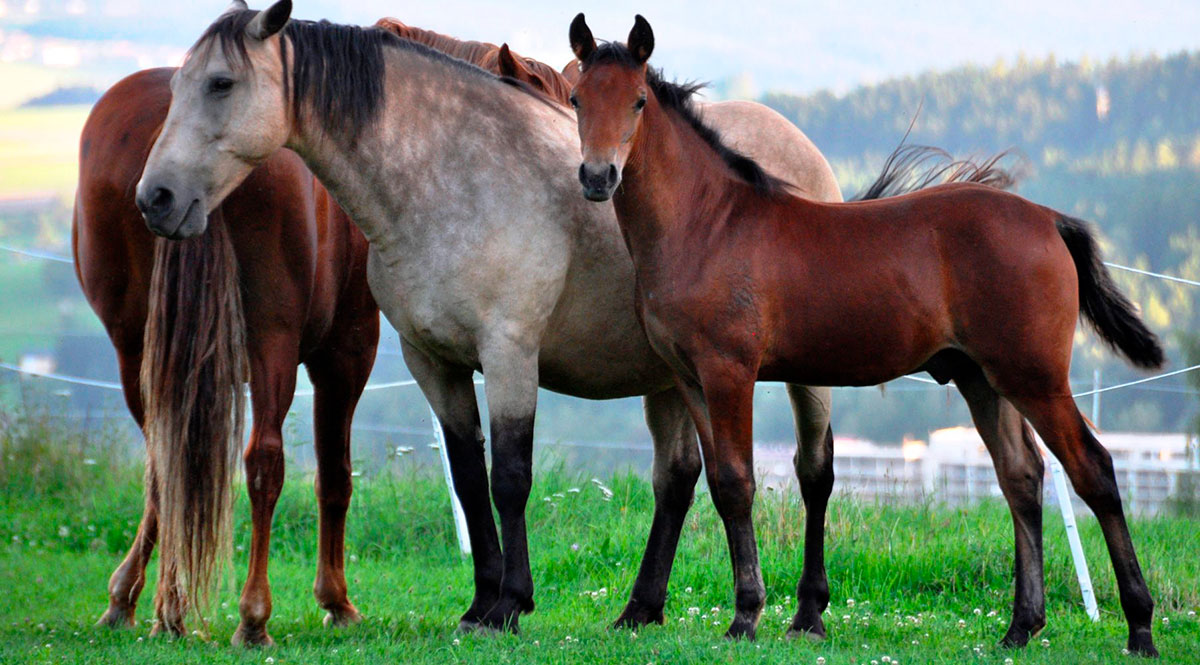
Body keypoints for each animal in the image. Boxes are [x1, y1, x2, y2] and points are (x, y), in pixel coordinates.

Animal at [568, 14, 1161, 652]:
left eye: (638, 100)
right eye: (577, 98)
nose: (597, 177)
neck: (708, 225)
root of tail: (1049, 219)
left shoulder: (730, 373)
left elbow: (738, 481)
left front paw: (747, 616)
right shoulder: (689, 378)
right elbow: (724, 487)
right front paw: (753, 611)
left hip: (1035, 377)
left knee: (1094, 469)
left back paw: (1139, 627)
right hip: (982, 379)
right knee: (1021, 478)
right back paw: (1021, 627)